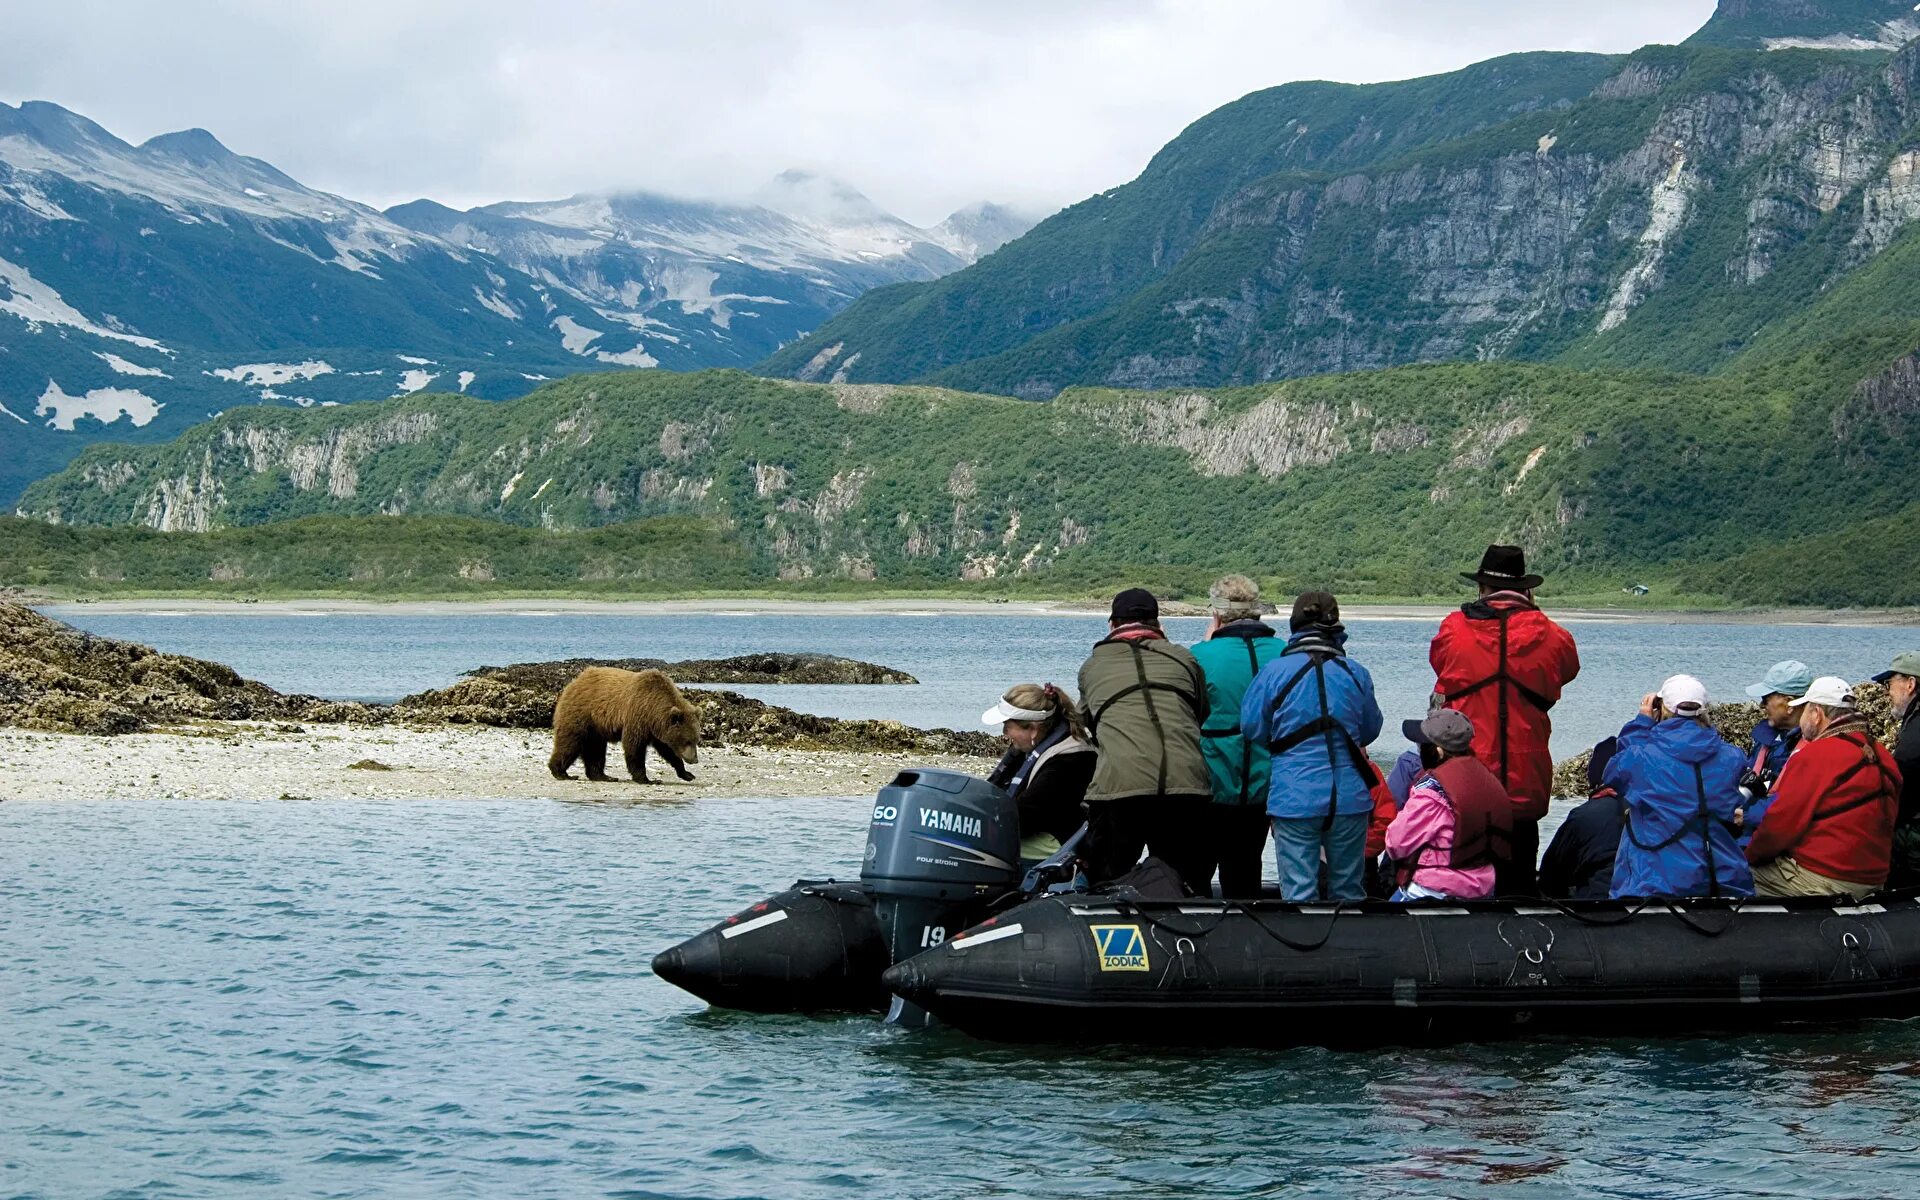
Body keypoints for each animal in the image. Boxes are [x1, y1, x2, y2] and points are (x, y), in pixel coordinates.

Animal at [545, 668, 702, 783]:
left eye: (696, 740)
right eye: (687, 740)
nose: (694, 759)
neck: (654, 709)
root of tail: (574, 682)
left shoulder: (658, 730)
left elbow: (668, 751)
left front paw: (687, 774)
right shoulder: (637, 717)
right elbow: (634, 747)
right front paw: (646, 779)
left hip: (595, 728)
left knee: (595, 749)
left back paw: (604, 776)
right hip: (581, 715)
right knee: (570, 743)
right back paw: (561, 773)